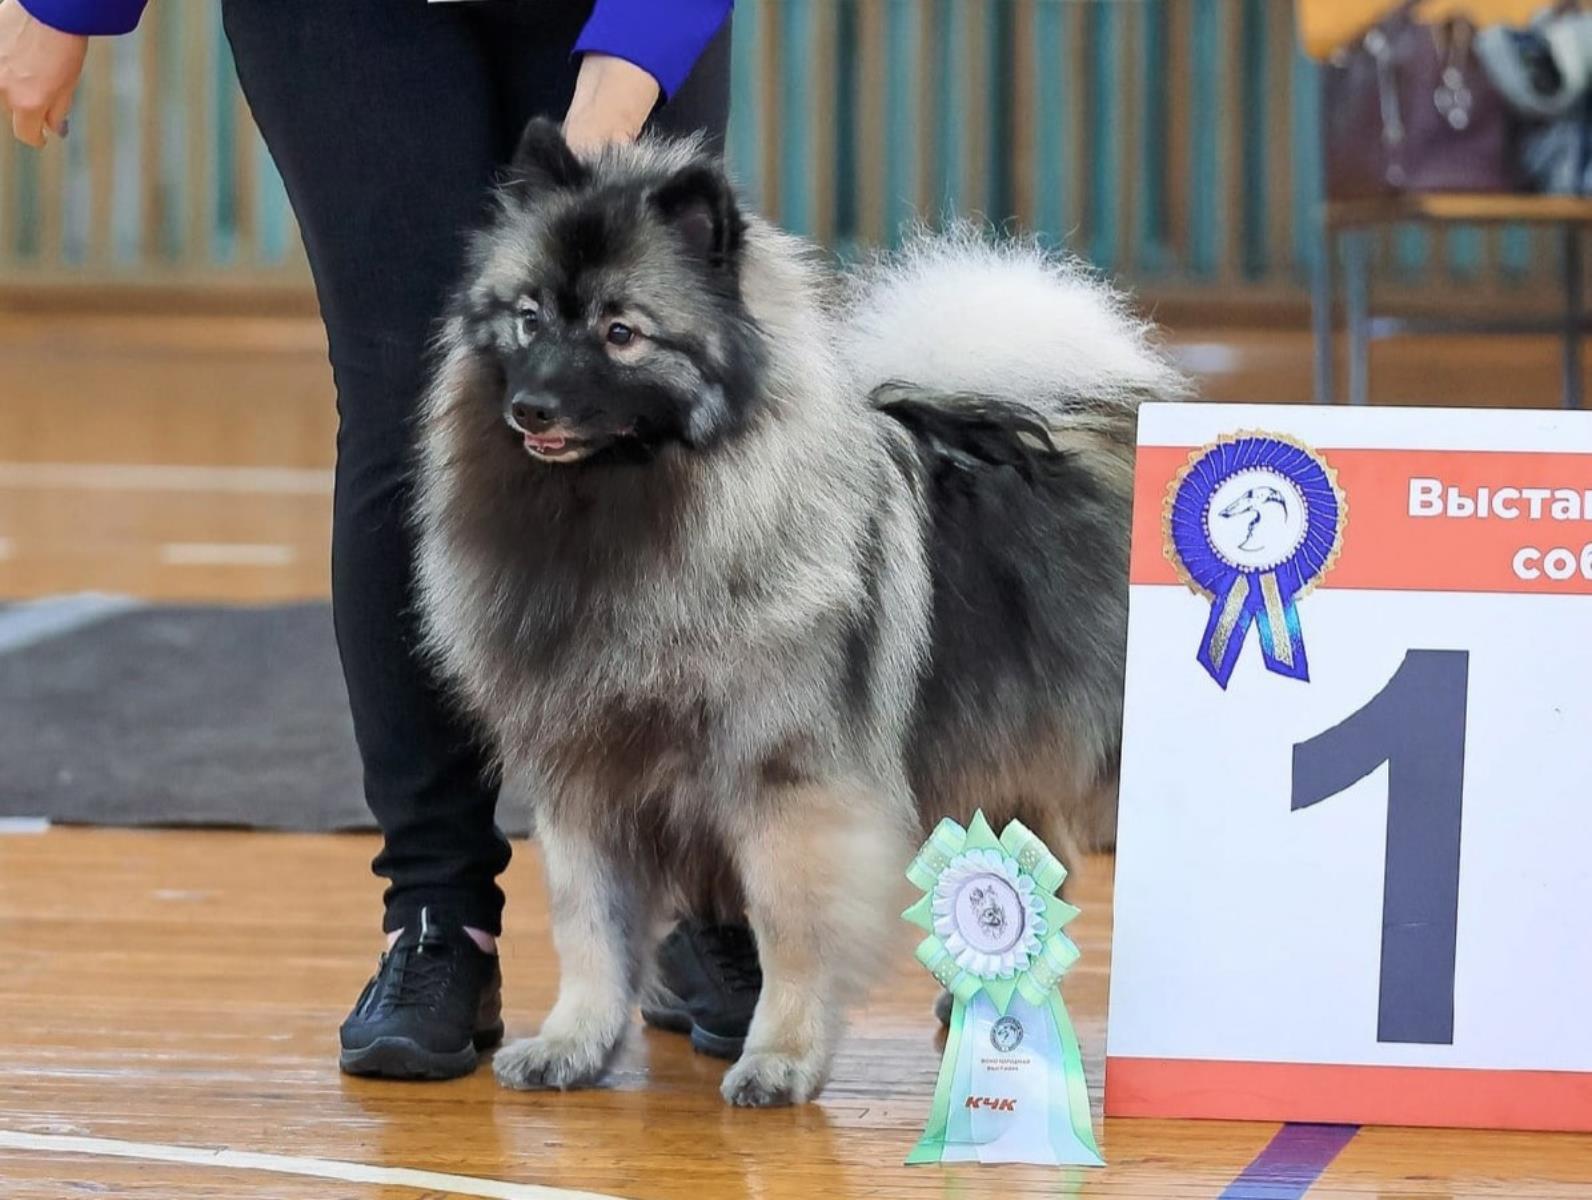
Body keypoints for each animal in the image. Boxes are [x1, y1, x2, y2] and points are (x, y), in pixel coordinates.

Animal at [410, 119, 1184, 1101]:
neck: (620, 520)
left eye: (622, 334)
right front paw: (573, 1041)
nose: (531, 405)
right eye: (529, 317)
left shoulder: (785, 785)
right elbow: (589, 929)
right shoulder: (585, 776)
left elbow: (790, 928)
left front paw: (778, 1057)